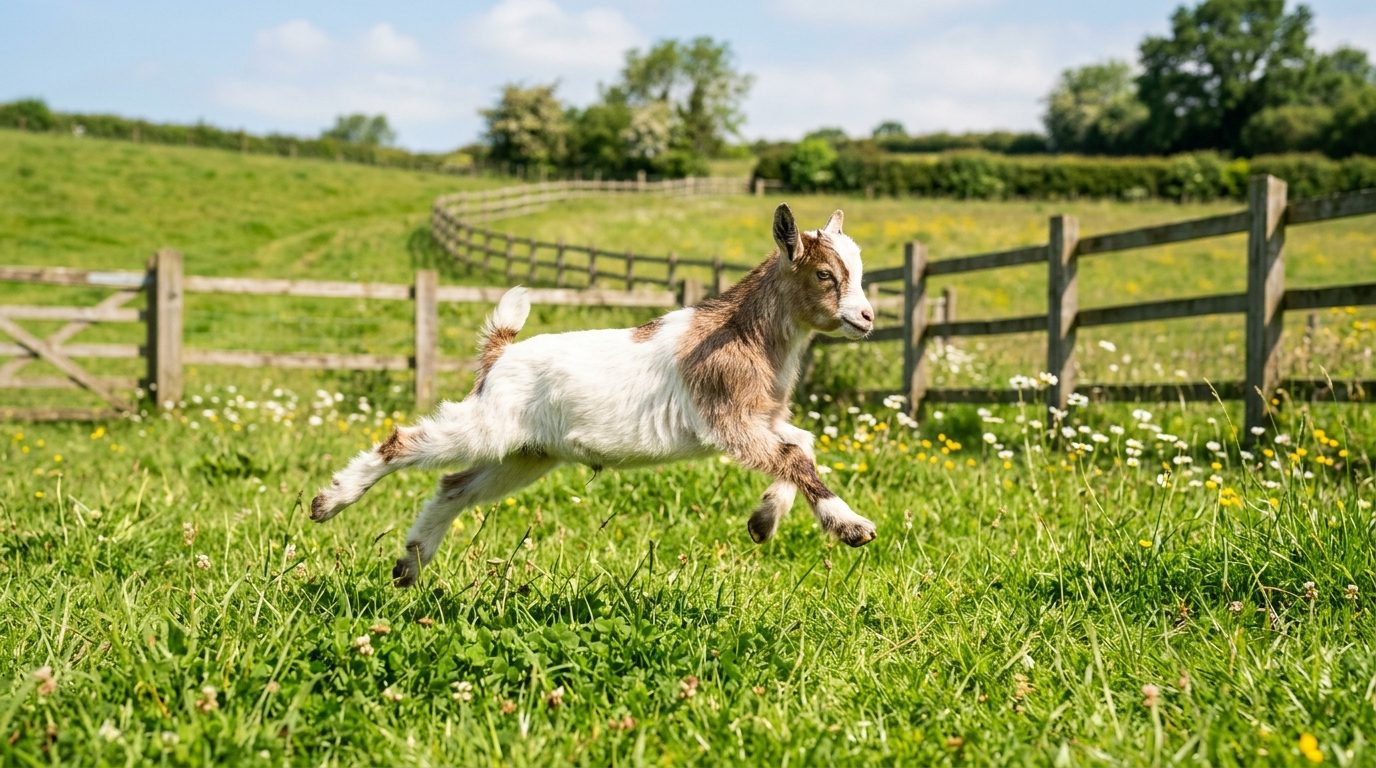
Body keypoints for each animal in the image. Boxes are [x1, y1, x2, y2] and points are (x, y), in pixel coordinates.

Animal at [311, 204, 878, 587]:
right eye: (825, 274)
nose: (867, 317)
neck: (743, 333)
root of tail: (499, 354)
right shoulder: (729, 418)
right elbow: (793, 456)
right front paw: (851, 527)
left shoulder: (761, 418)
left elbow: (800, 445)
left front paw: (763, 522)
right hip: (487, 426)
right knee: (404, 442)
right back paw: (330, 502)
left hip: (524, 455)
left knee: (454, 486)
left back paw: (410, 562)